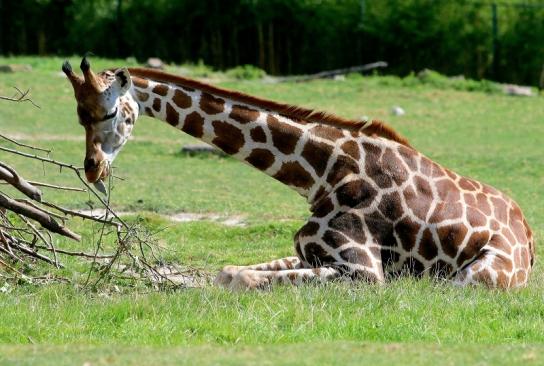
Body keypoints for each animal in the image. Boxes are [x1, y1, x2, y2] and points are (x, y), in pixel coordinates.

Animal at [61, 57, 532, 290]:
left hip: (477, 278)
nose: (93, 168)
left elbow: (241, 278)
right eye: (78, 114)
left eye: (110, 111)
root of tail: (528, 238)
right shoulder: (309, 254)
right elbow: (227, 271)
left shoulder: (365, 273)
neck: (323, 174)